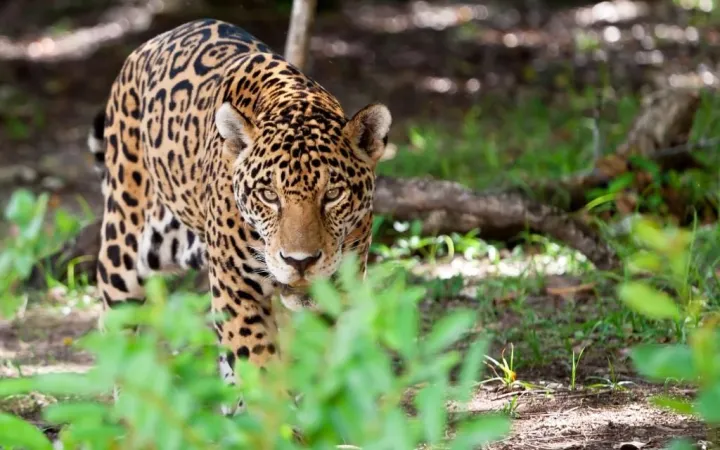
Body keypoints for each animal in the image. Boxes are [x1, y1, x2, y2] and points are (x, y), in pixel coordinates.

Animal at [88, 18, 392, 414]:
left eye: (333, 194)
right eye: (269, 196)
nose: (300, 262)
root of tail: (150, 44)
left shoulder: (341, 286)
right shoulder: (236, 288)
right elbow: (259, 366)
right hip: (125, 245)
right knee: (116, 326)